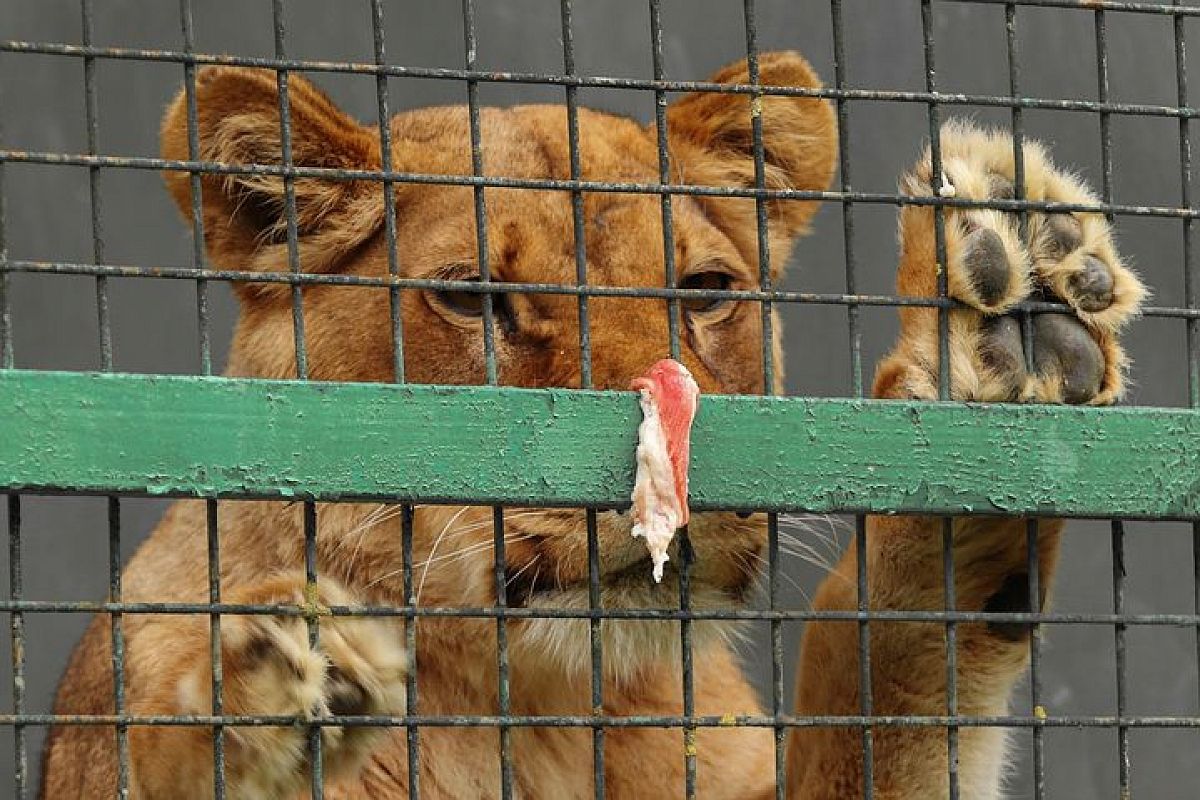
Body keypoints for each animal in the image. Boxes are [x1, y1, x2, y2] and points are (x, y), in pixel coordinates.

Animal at [39, 53, 1142, 796]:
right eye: (474, 299)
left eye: (705, 291)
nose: (674, 481)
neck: (540, 714)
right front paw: (277, 686)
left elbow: (881, 675)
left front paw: (993, 354)